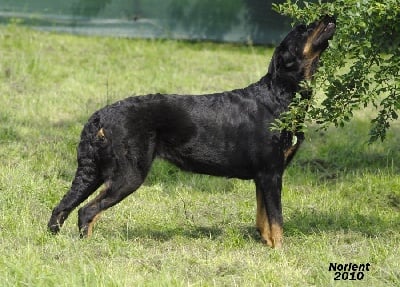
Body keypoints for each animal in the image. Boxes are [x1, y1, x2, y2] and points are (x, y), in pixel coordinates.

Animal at [47, 15, 334, 249]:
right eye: (303, 28)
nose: (327, 15)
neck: (279, 96)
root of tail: (100, 115)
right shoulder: (271, 173)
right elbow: (276, 219)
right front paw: (280, 251)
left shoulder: (263, 176)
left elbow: (263, 218)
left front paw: (267, 245)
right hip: (127, 175)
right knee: (87, 211)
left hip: (95, 171)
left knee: (63, 207)